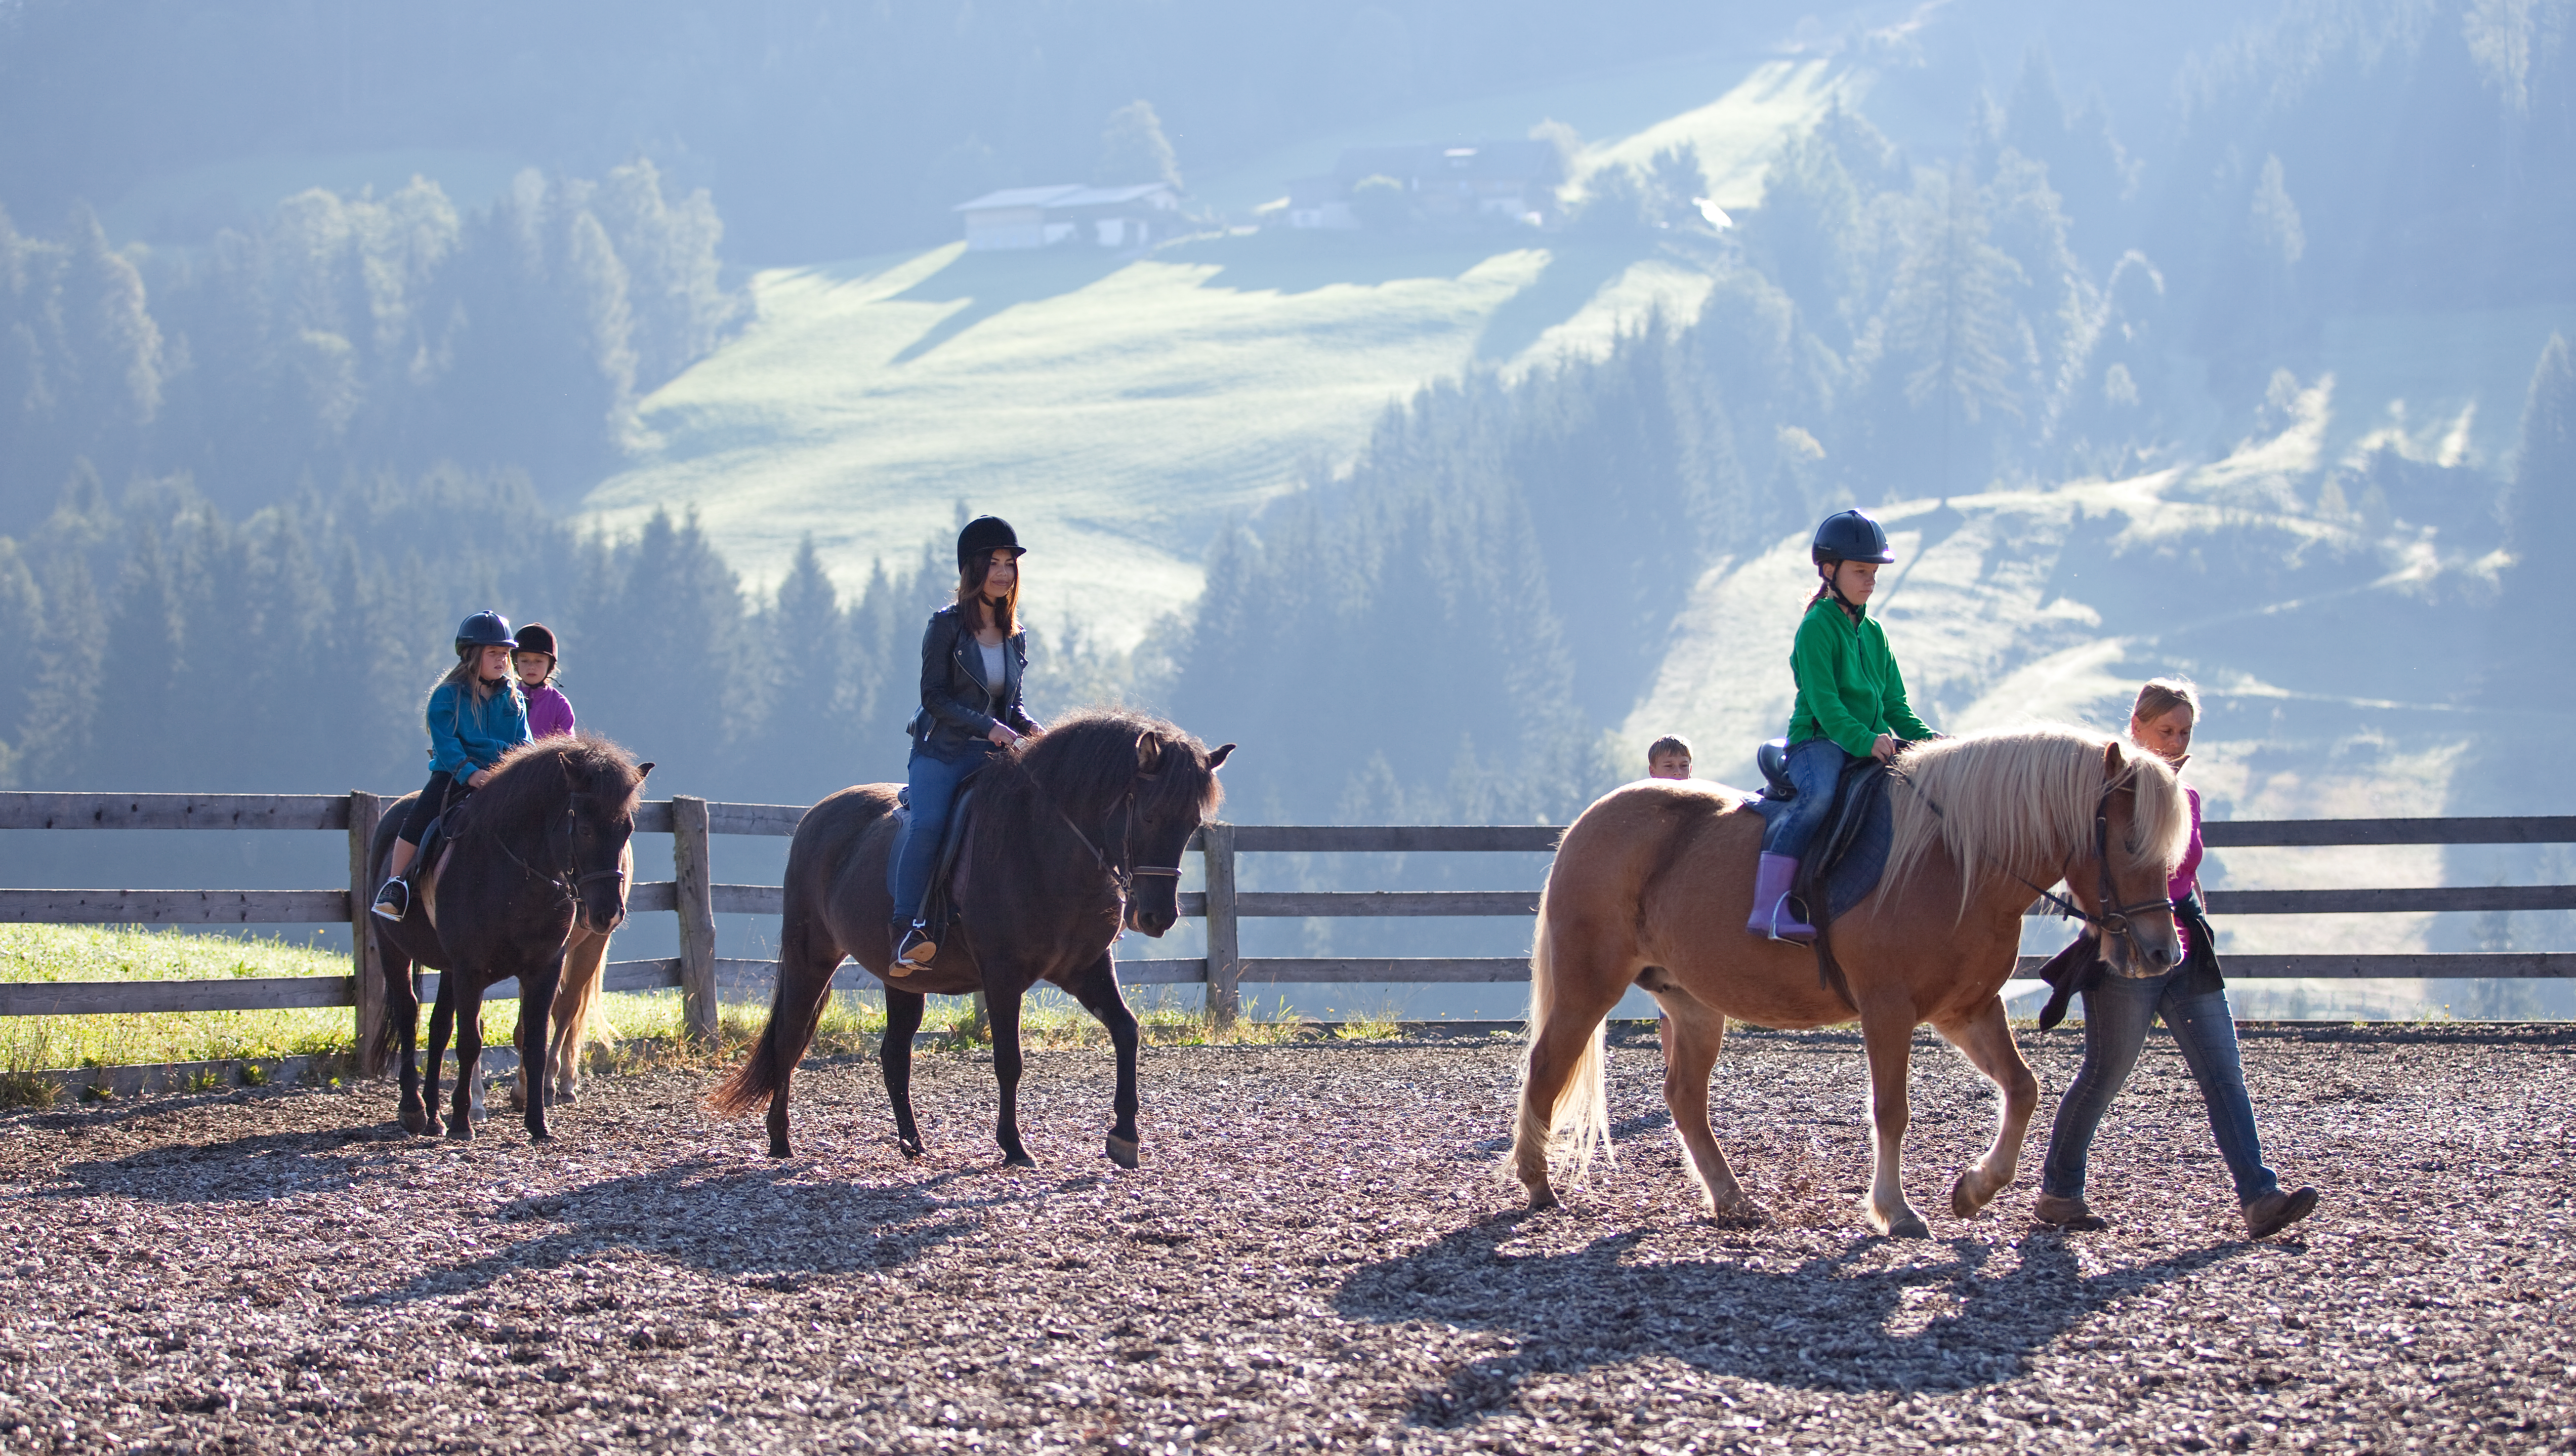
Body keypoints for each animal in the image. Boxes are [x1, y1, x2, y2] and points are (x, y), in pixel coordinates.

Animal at [366, 735, 651, 1141]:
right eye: (584, 830)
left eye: (626, 829)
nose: (608, 913)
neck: (513, 876)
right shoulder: (471, 971)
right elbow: (471, 1042)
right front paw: (464, 1120)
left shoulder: (544, 968)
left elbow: (535, 1040)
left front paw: (538, 1122)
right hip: (395, 950)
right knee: (409, 1013)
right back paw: (415, 1110)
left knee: (440, 1027)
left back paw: (436, 1115)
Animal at [709, 709, 1233, 1168]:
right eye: (1149, 816)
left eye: (1192, 825)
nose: (1157, 917)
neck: (1045, 845)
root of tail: (815, 818)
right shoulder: (1002, 978)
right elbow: (1009, 1061)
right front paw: (1014, 1147)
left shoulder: (1085, 969)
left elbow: (1127, 1031)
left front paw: (1125, 1138)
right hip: (812, 957)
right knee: (789, 1040)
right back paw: (780, 1140)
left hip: (903, 980)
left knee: (894, 1054)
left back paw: (911, 1143)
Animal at [1507, 724, 2189, 1238]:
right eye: (2127, 840)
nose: (2161, 951)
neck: (1955, 858)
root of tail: (1587, 823)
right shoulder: (1888, 1009)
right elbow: (1891, 1109)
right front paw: (1895, 1209)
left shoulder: (1965, 1009)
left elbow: (2022, 1087)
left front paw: (1973, 1188)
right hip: (1588, 987)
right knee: (1545, 1066)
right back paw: (1537, 1182)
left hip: (1693, 1003)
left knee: (1683, 1096)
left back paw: (1730, 1198)